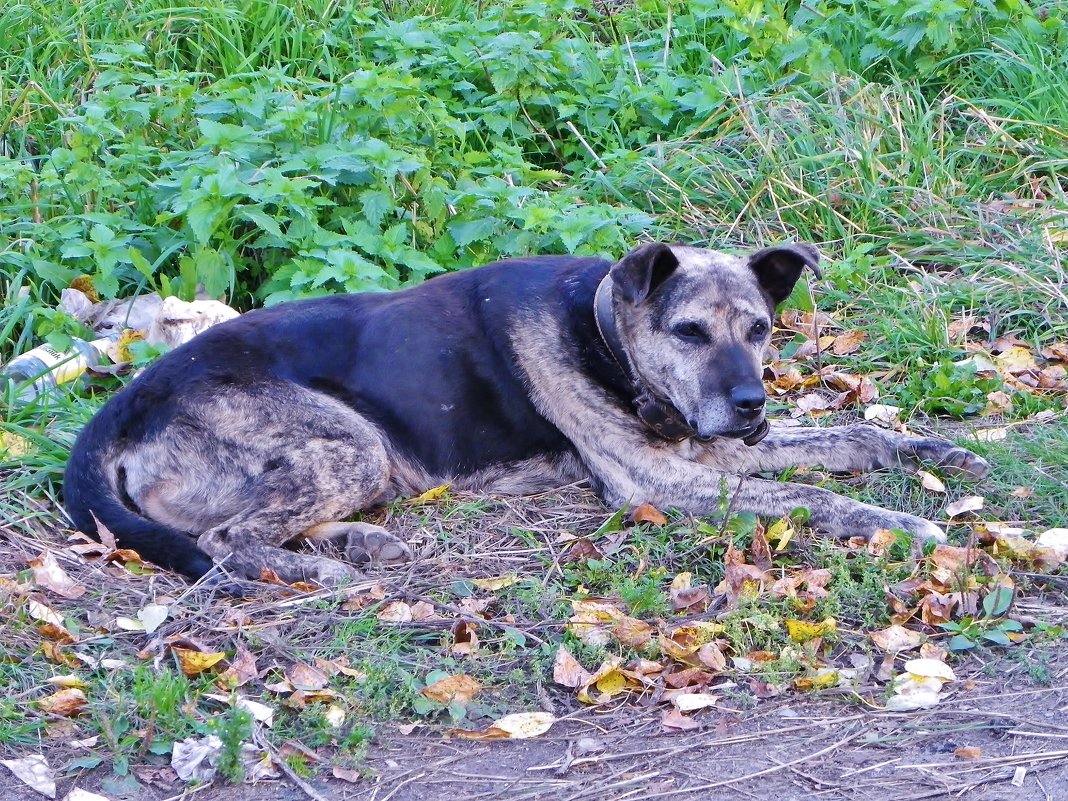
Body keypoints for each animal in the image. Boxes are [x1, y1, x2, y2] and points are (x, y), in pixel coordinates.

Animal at [62, 241, 986, 585]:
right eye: (689, 332)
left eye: (760, 329)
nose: (752, 405)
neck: (604, 330)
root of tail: (119, 408)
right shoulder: (665, 481)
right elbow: (813, 493)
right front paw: (900, 524)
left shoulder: (720, 450)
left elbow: (851, 436)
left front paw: (934, 450)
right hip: (348, 441)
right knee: (227, 540)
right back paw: (326, 570)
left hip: (357, 459)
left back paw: (359, 542)